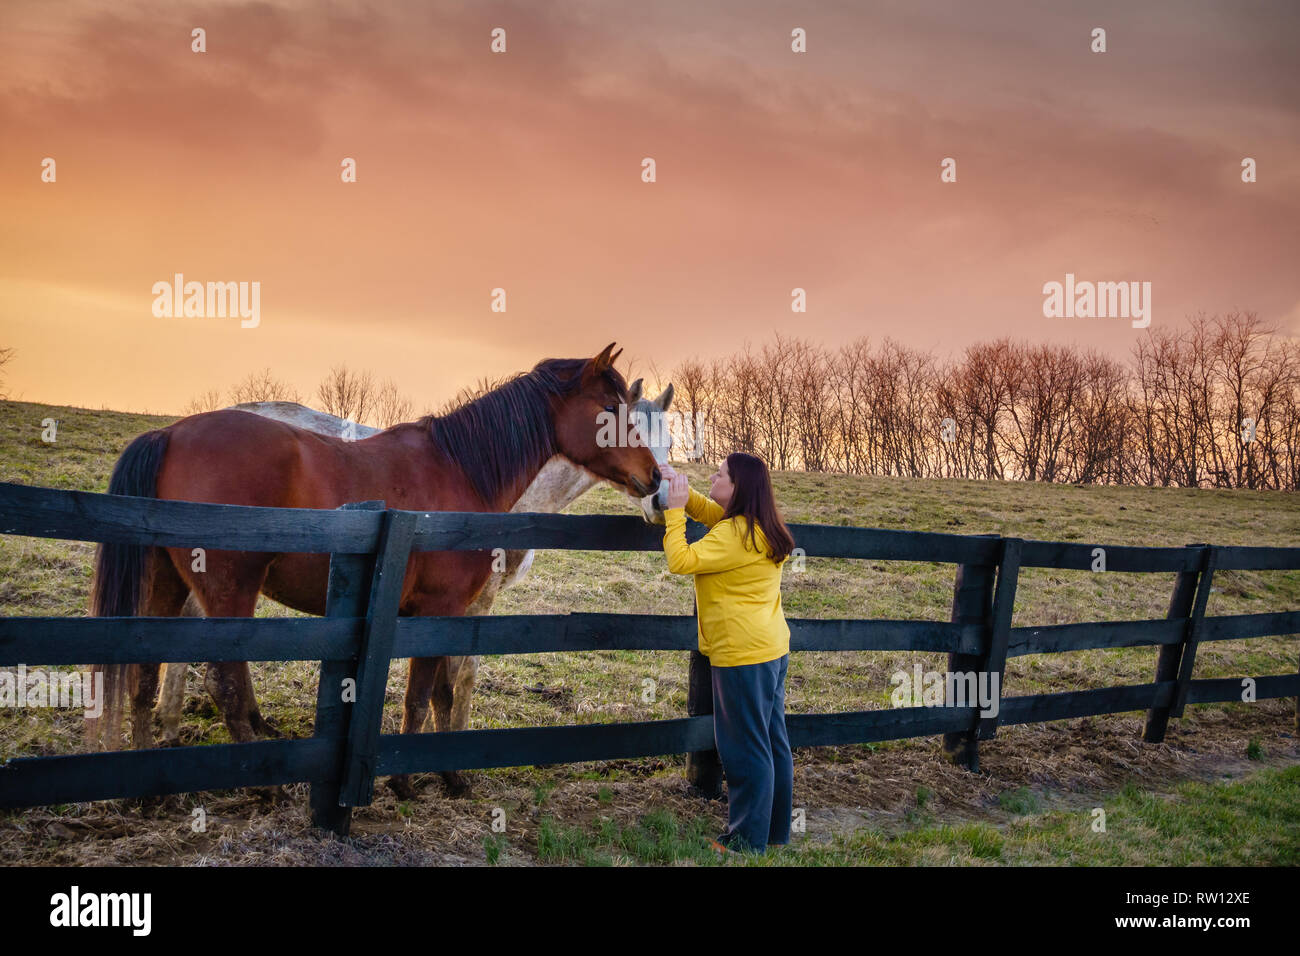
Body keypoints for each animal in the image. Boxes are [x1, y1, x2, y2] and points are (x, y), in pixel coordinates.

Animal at [86, 343, 660, 801]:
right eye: (610, 409)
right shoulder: (439, 609)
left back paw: (149, 790)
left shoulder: (442, 614)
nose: (654, 479)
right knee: (223, 684)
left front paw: (447, 777)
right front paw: (408, 782)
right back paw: (263, 786)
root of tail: (170, 433)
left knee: (143, 675)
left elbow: (441, 692)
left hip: (167, 586)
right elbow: (424, 695)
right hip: (229, 594)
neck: (461, 469)